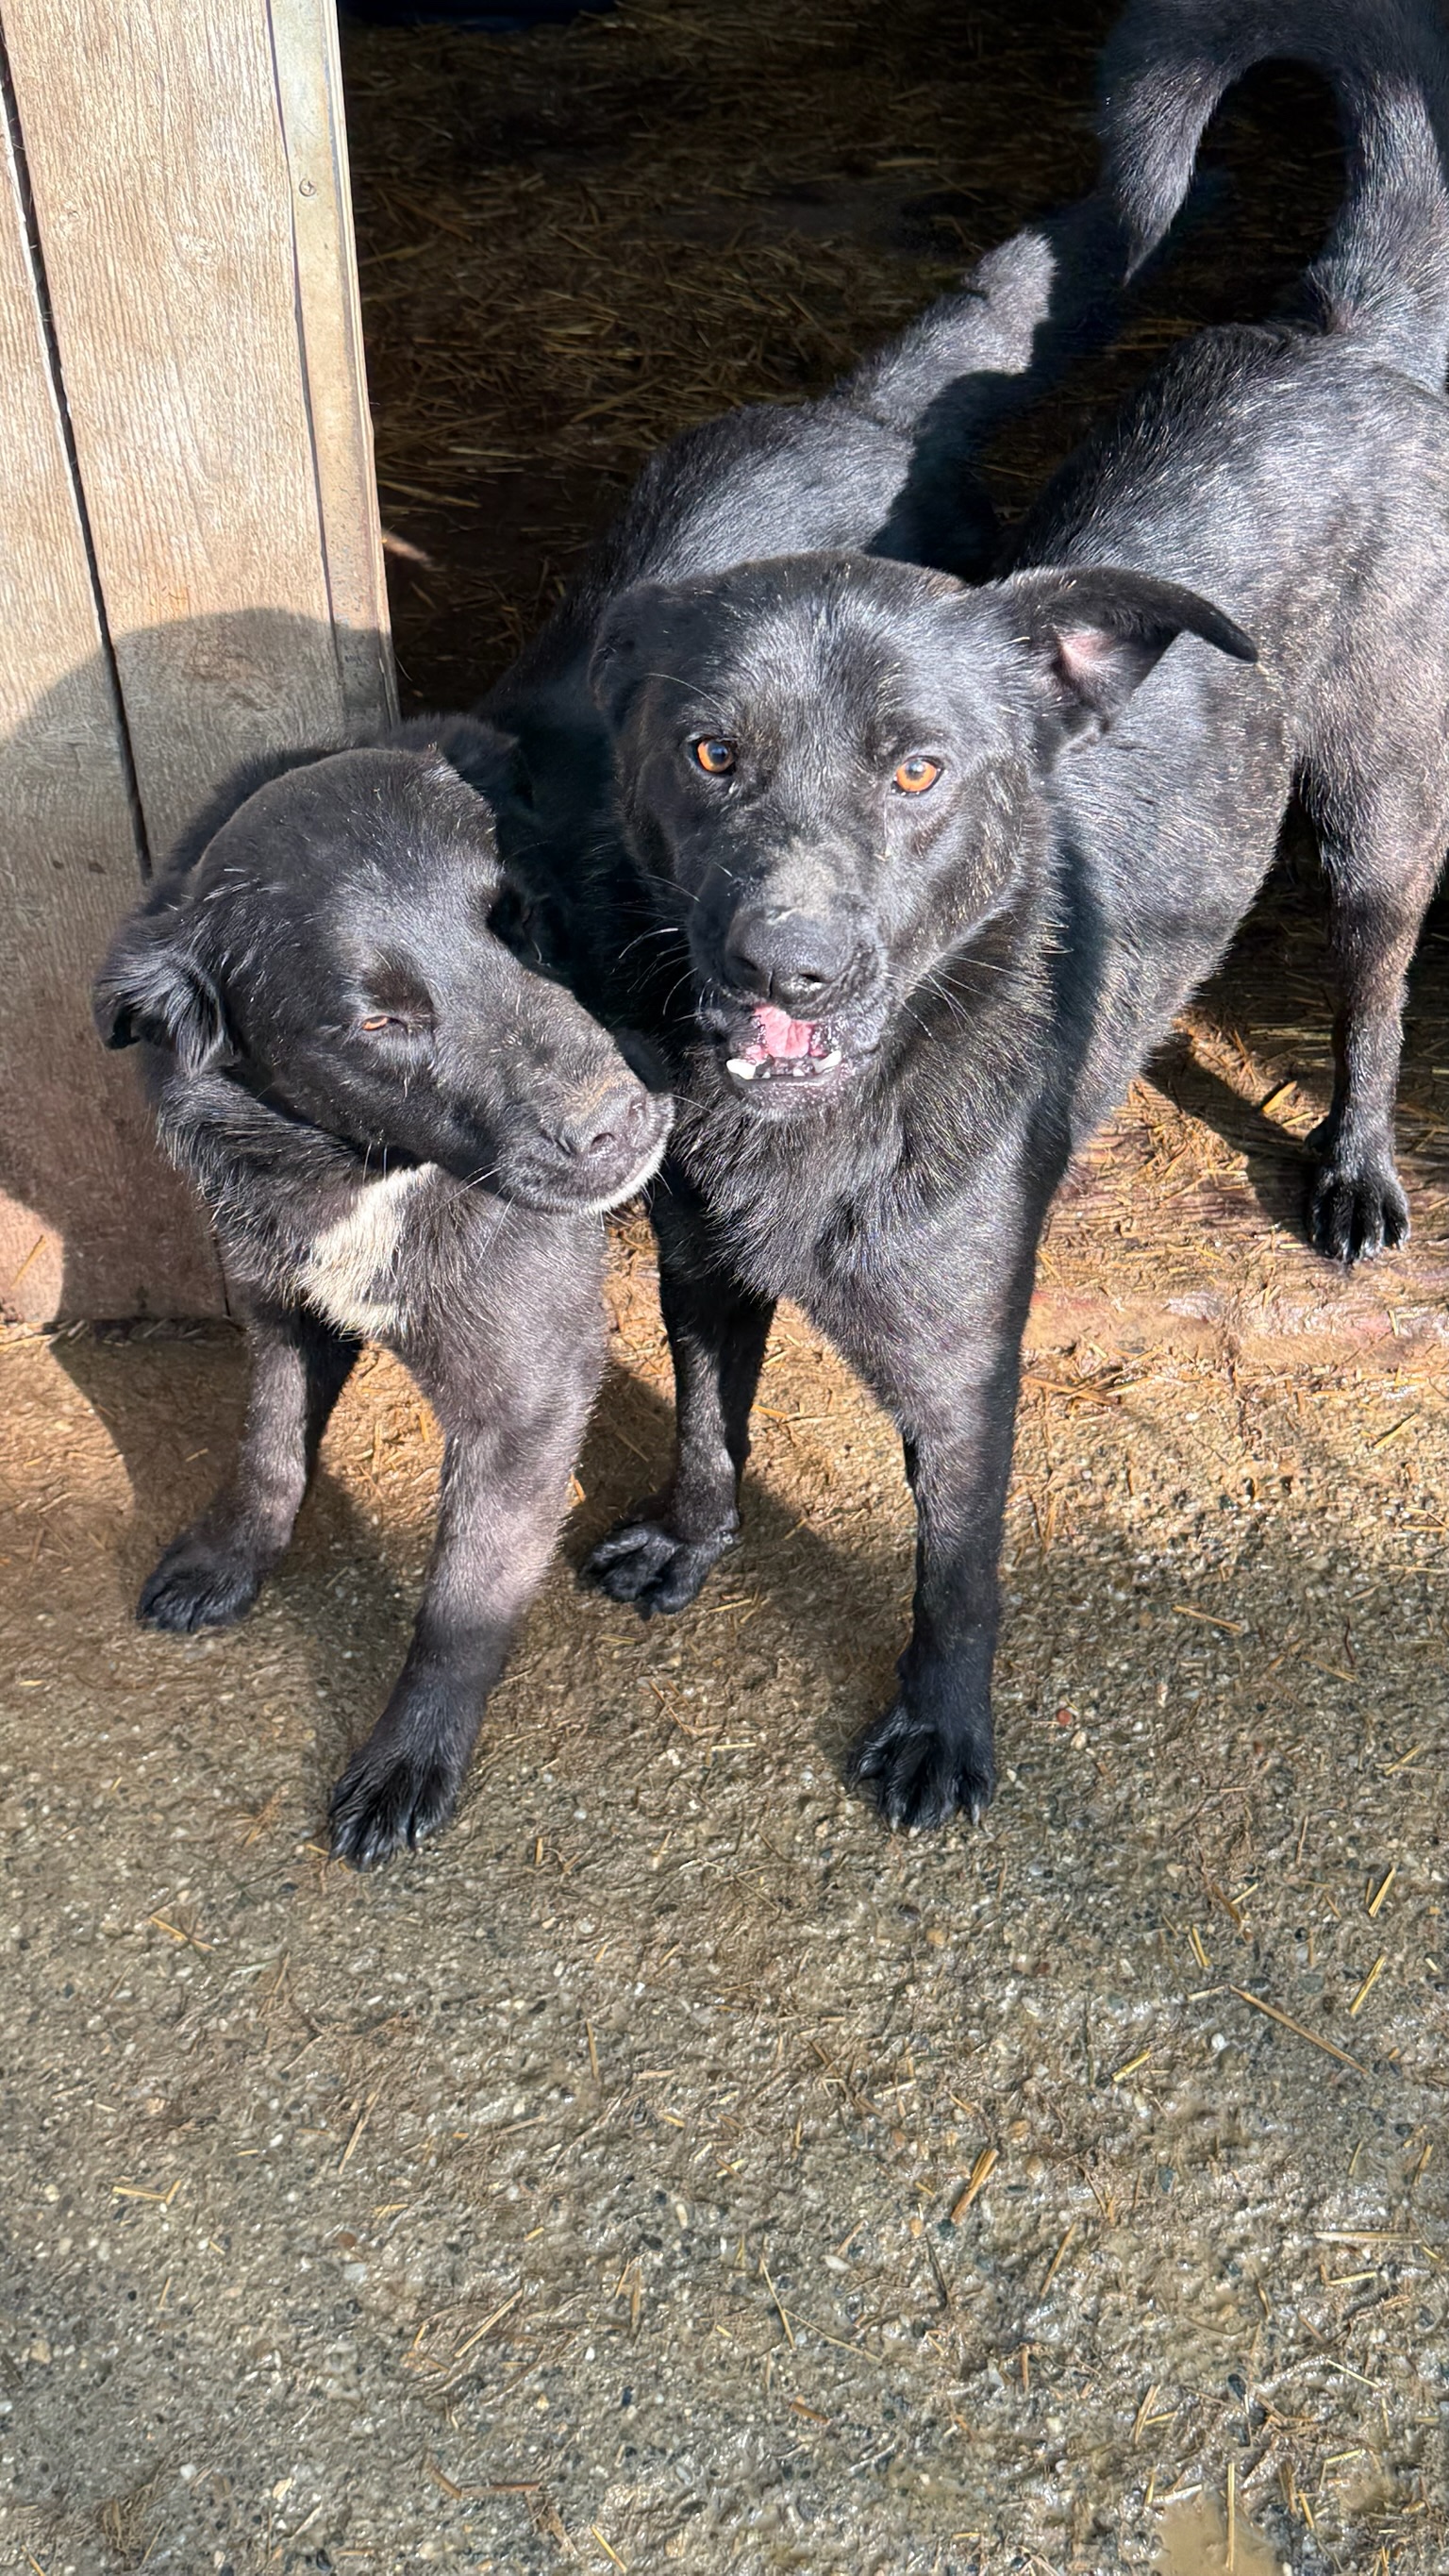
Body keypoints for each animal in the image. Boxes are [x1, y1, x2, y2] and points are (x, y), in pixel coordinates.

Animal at [94, 721, 672, 1867]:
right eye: (379, 1022)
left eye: (517, 915)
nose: (625, 1122)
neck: (367, 1171)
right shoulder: (281, 1313)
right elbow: (266, 1448)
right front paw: (230, 1555)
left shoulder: (527, 1400)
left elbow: (462, 1598)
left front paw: (411, 1756)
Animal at [563, 0, 1449, 1833]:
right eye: (708, 753)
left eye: (919, 770)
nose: (788, 963)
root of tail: (1346, 334)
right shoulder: (700, 1272)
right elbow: (702, 1428)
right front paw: (691, 1544)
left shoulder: (970, 1366)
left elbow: (953, 1568)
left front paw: (942, 1730)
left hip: (1383, 814)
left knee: (1380, 979)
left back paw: (1355, 1170)